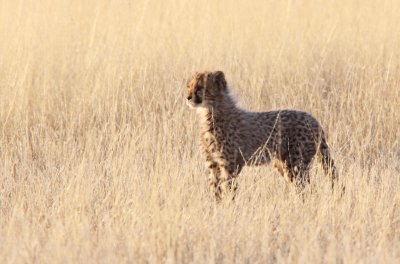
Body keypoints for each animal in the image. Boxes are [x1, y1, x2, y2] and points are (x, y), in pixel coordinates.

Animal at [187, 70, 338, 200]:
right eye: (189, 86)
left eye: (200, 88)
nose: (187, 97)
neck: (211, 111)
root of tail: (313, 118)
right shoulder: (212, 164)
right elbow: (216, 190)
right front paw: (217, 208)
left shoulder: (230, 164)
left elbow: (229, 189)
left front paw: (229, 206)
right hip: (283, 163)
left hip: (296, 164)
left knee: (306, 189)